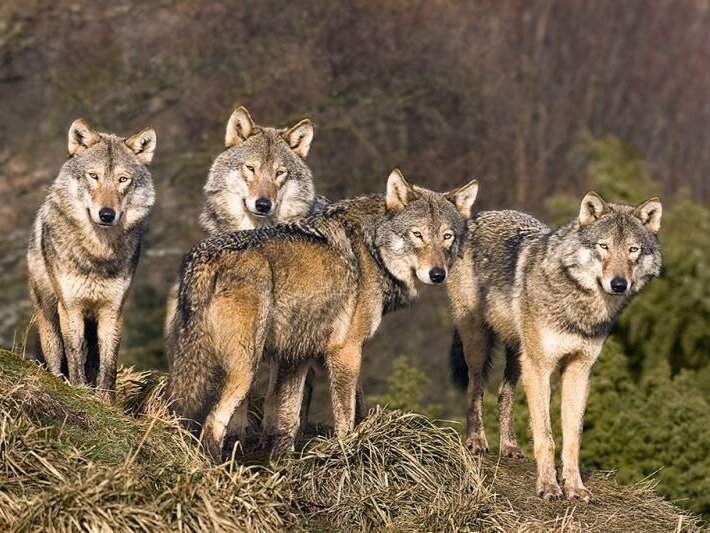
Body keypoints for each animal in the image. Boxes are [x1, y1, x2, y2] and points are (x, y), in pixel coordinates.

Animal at [27, 119, 157, 400]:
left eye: (123, 179)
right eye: (94, 176)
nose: (107, 214)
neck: (97, 253)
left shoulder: (113, 310)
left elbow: (109, 364)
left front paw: (106, 401)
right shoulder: (70, 307)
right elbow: (75, 354)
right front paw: (79, 391)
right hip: (49, 317)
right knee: (57, 358)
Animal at [167, 169, 479, 460]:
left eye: (447, 237)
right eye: (418, 234)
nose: (438, 274)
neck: (373, 250)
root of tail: (204, 259)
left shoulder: (297, 355)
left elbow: (287, 417)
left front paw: (284, 460)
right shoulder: (345, 350)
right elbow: (346, 413)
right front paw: (346, 451)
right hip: (245, 368)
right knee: (213, 423)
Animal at [447, 191, 662, 502]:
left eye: (633, 250)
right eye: (604, 246)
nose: (619, 284)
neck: (580, 307)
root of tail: (480, 215)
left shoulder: (579, 370)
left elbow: (572, 439)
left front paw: (575, 488)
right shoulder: (541, 367)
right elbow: (546, 437)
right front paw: (548, 486)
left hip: (518, 355)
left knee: (503, 394)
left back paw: (509, 447)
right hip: (480, 343)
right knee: (475, 388)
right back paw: (476, 440)